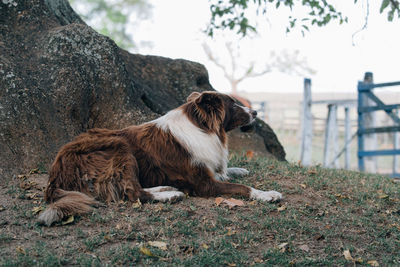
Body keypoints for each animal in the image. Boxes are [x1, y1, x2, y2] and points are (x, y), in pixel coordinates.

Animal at [37, 91, 282, 226]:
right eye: (232, 104)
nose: (255, 113)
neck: (201, 127)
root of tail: (56, 173)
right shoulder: (204, 184)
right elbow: (242, 188)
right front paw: (267, 194)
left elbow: (227, 171)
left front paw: (239, 169)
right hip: (119, 147)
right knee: (132, 192)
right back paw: (170, 195)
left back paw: (166, 188)